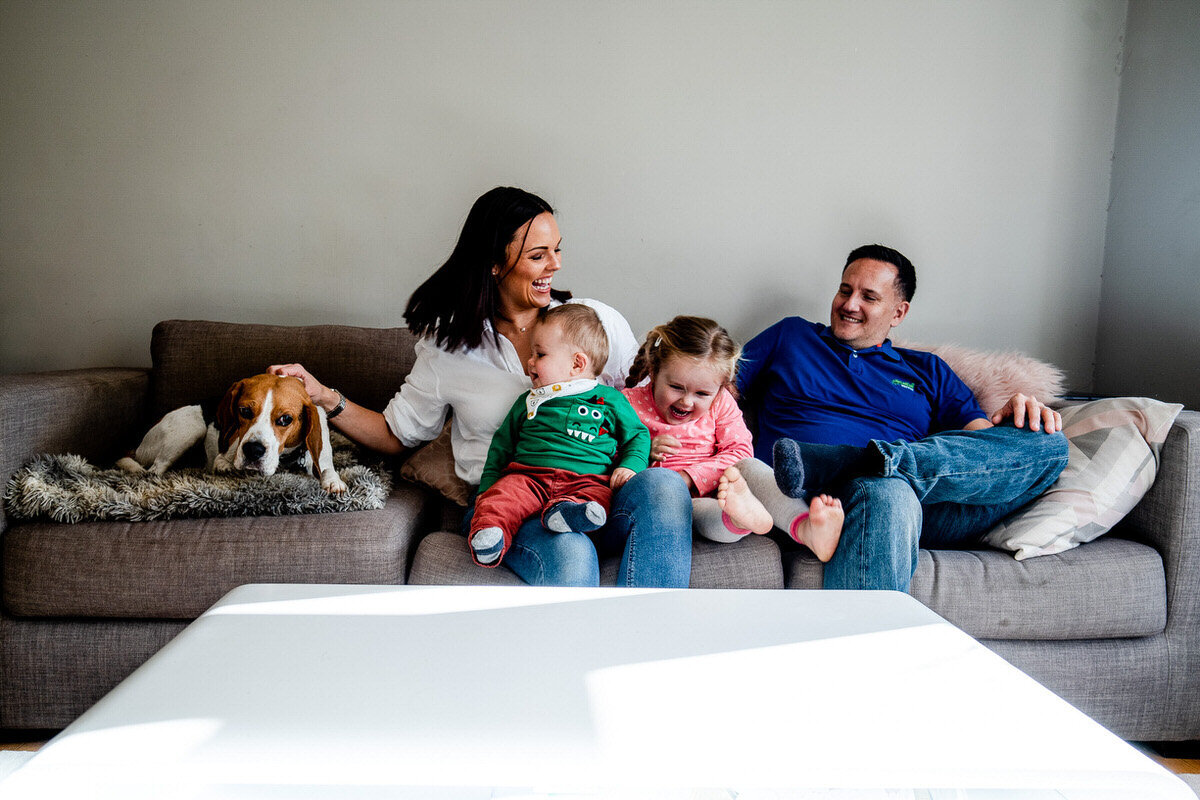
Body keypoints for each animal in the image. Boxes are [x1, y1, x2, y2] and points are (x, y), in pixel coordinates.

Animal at [117, 374, 350, 494]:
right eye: (244, 411)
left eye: (285, 419)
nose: (253, 450)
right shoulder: (224, 453)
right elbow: (222, 462)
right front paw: (227, 468)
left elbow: (327, 469)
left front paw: (333, 481)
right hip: (190, 428)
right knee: (155, 470)